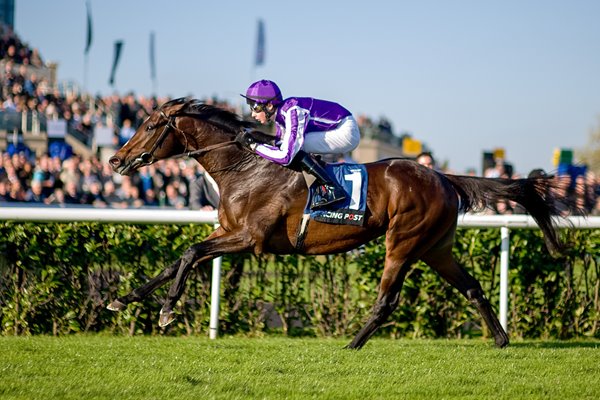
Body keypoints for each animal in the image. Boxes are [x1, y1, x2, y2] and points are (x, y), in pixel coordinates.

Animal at [106, 98, 576, 348]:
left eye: (150, 124)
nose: (115, 159)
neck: (245, 168)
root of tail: (444, 176)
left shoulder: (248, 238)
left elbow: (189, 253)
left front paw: (166, 311)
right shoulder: (226, 232)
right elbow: (177, 260)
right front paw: (124, 299)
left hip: (403, 241)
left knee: (387, 300)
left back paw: (352, 343)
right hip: (436, 248)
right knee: (473, 287)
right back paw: (500, 339)